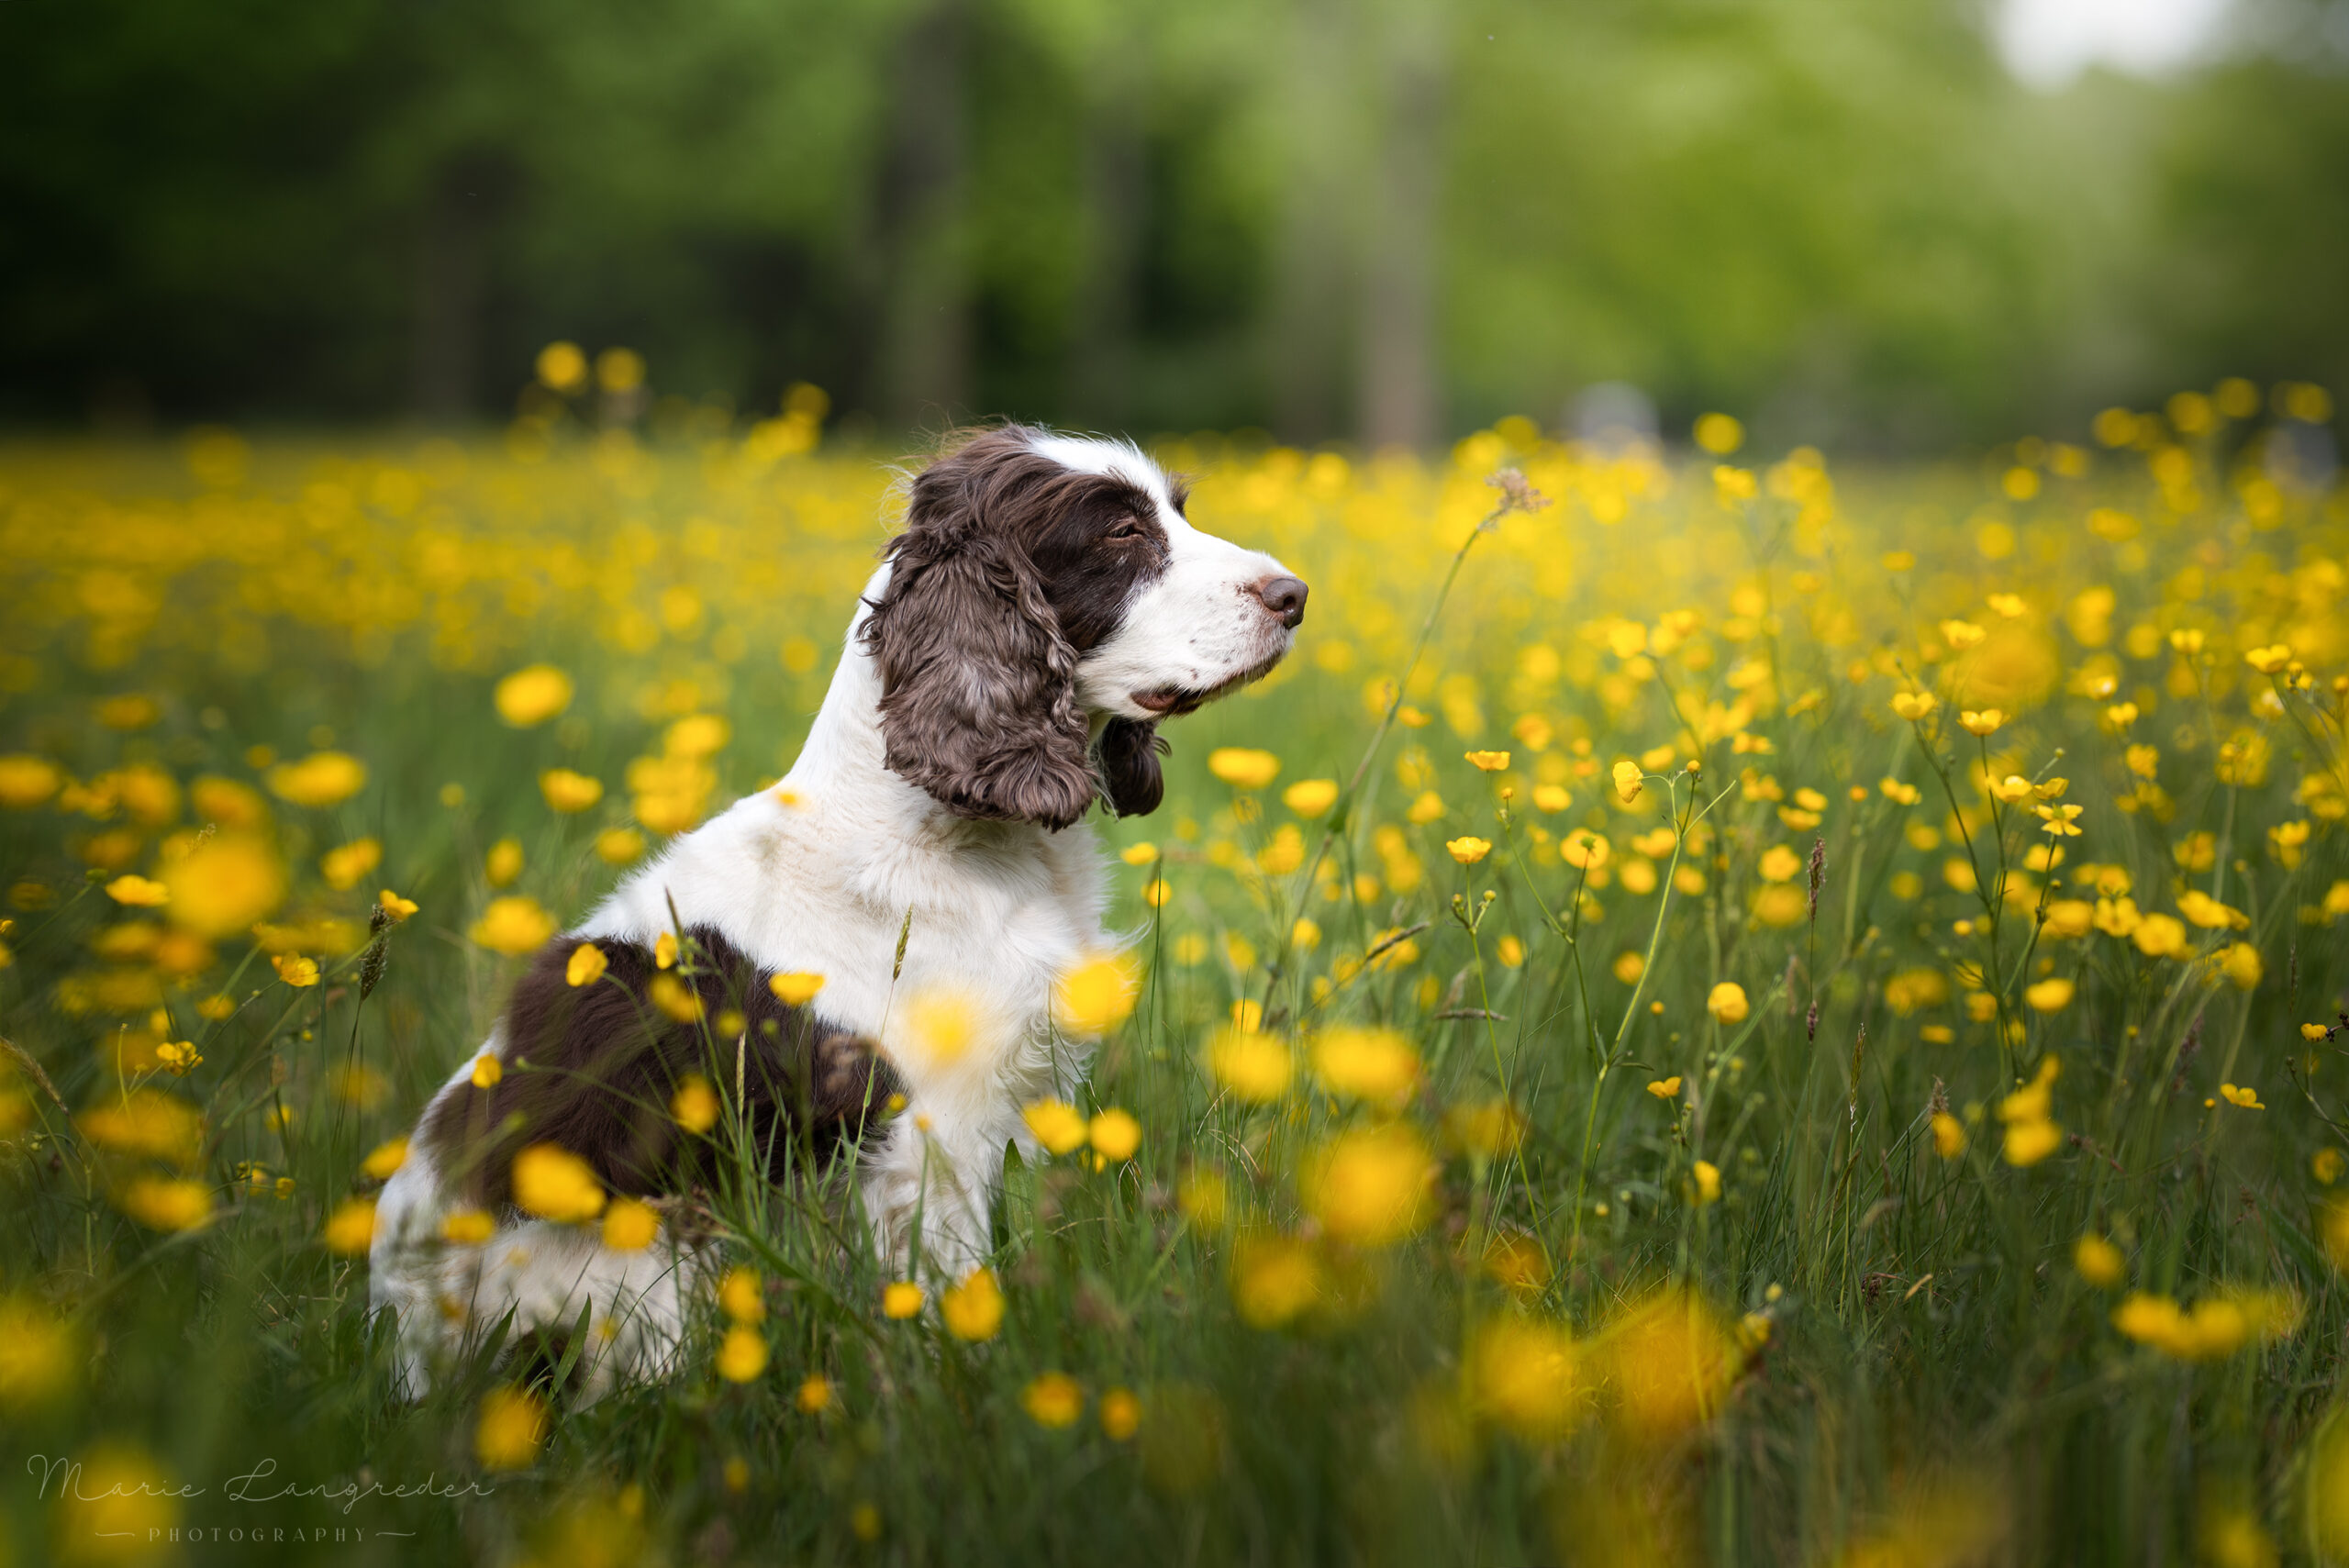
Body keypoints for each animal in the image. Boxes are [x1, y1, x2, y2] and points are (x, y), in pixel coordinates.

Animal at [375, 429, 1315, 1398]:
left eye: (1177, 511)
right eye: (1122, 531)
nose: (1295, 595)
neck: (947, 831)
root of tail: (408, 1349)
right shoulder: (928, 1131)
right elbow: (950, 1290)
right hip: (650, 1270)